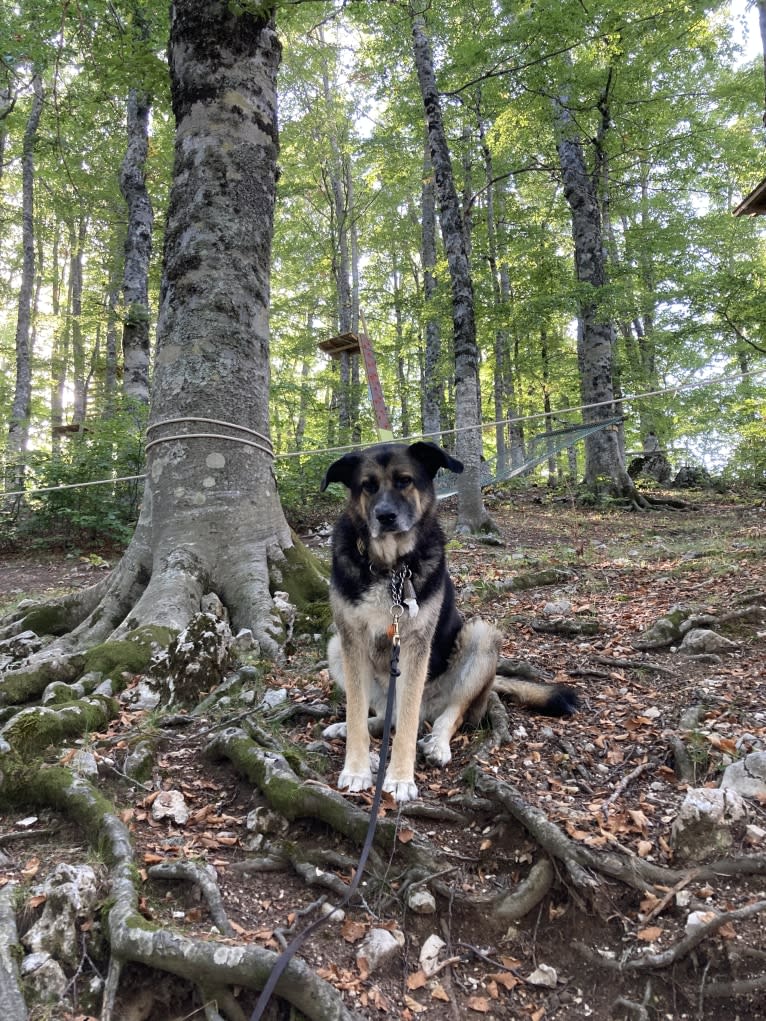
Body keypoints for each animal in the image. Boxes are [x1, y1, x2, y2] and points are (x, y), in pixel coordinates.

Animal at [320, 443, 580, 800]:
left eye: (404, 481)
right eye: (367, 486)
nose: (385, 516)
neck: (390, 568)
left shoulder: (416, 645)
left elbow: (409, 724)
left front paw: (400, 777)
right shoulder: (350, 639)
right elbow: (357, 711)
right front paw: (357, 768)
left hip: (481, 638)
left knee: (443, 716)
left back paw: (438, 744)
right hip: (335, 648)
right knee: (386, 717)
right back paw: (351, 731)